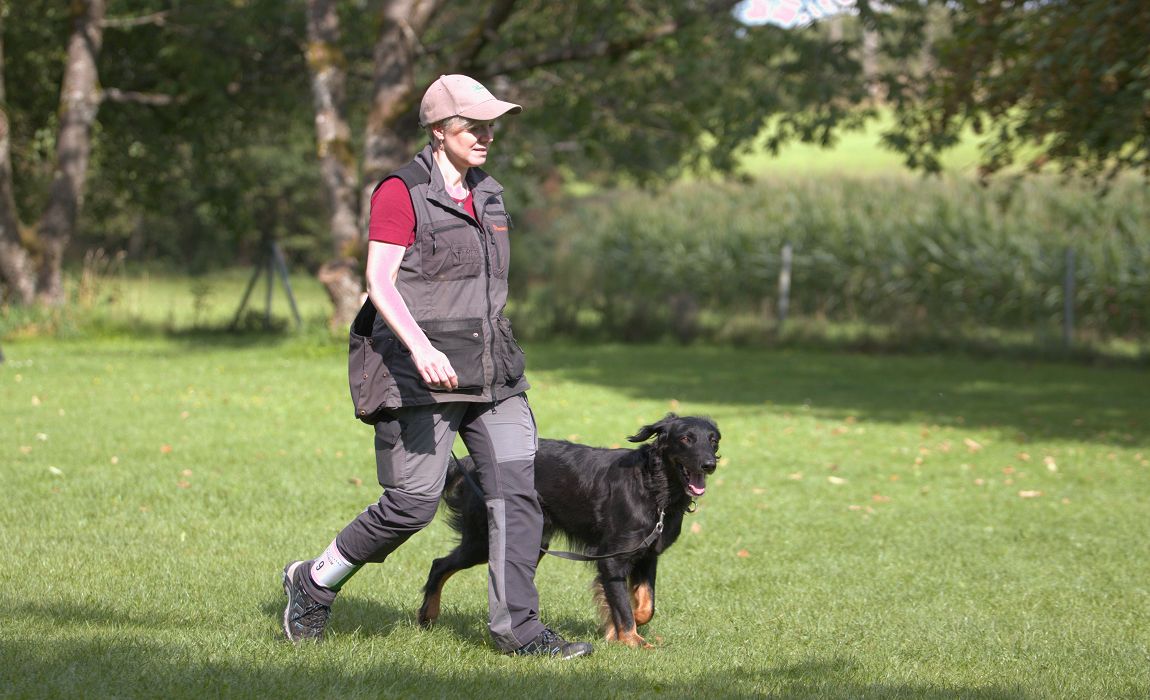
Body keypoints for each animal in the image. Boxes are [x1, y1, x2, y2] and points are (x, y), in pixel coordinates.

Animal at [418, 411, 713, 648]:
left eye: (713, 439)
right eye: (685, 438)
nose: (710, 464)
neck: (653, 486)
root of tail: (469, 462)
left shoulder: (647, 556)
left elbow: (644, 607)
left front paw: (612, 631)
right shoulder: (613, 559)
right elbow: (624, 606)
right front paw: (632, 641)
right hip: (482, 540)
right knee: (439, 564)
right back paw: (427, 616)